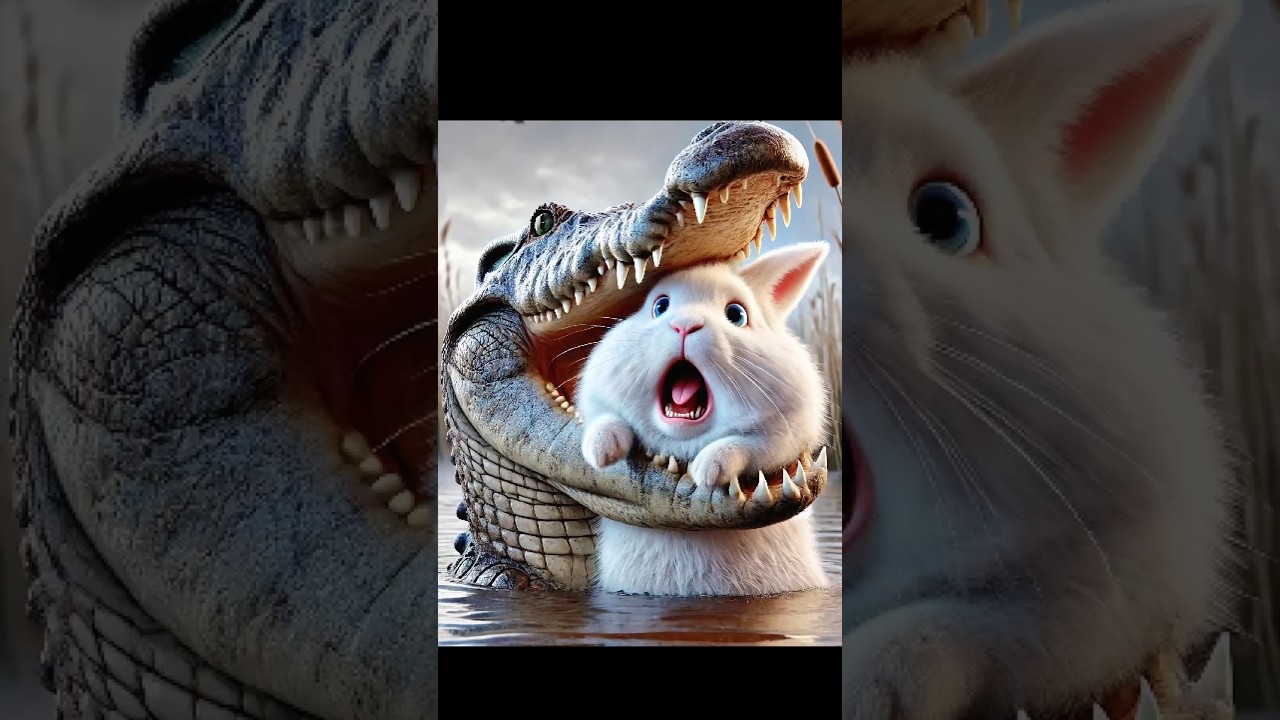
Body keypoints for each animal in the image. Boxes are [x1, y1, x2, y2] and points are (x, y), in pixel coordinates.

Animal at [576, 242, 832, 596]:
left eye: (736, 315)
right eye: (660, 306)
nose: (685, 325)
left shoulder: (785, 435)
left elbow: (748, 445)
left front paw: (708, 470)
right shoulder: (597, 400)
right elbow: (604, 418)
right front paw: (601, 450)